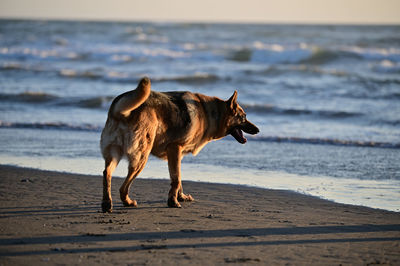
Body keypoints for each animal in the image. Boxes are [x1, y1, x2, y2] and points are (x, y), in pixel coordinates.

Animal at [100, 77, 260, 212]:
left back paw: (107, 203)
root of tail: (121, 113)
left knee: (106, 173)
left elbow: (179, 178)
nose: (258, 130)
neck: (208, 114)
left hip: (116, 155)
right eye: (243, 117)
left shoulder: (177, 155)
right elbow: (176, 180)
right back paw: (126, 201)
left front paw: (180, 197)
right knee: (123, 186)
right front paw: (173, 201)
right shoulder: (175, 149)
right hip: (141, 158)